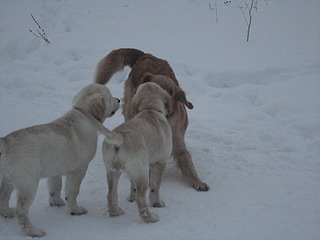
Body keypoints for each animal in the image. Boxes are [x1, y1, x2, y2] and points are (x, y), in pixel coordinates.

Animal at [0, 83, 121, 237]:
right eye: (110, 96)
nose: (119, 100)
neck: (83, 115)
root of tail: (6, 141)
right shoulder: (79, 169)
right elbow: (72, 192)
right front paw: (75, 210)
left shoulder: (55, 167)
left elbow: (55, 186)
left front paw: (56, 201)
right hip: (28, 182)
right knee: (21, 210)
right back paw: (33, 231)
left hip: (7, 180)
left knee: (2, 199)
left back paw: (8, 213)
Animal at [95, 48, 210, 191]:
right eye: (154, 85)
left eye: (170, 91)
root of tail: (145, 55)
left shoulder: (178, 142)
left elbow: (187, 163)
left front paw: (197, 181)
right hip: (129, 107)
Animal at [102, 81, 172, 223]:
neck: (150, 109)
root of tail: (119, 137)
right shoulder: (160, 162)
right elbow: (155, 186)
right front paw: (157, 203)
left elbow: (132, 185)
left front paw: (131, 197)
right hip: (142, 172)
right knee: (141, 199)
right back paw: (150, 218)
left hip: (112, 170)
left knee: (111, 193)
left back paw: (116, 212)